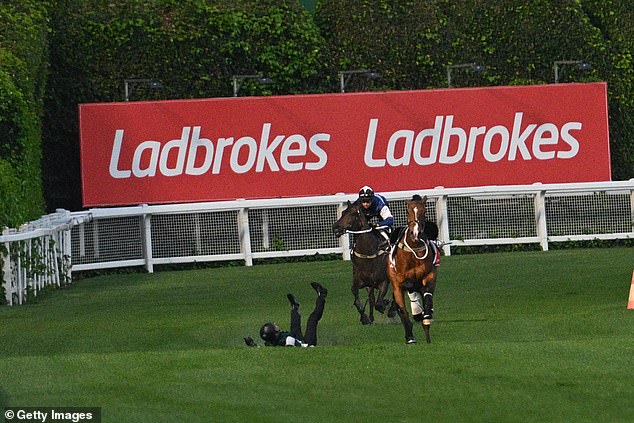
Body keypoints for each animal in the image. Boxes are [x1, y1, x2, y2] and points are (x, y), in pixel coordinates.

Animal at [388, 195, 436, 344]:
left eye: (424, 211)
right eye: (407, 211)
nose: (416, 233)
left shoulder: (429, 276)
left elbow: (428, 298)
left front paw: (426, 319)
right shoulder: (399, 283)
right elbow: (403, 310)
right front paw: (410, 336)